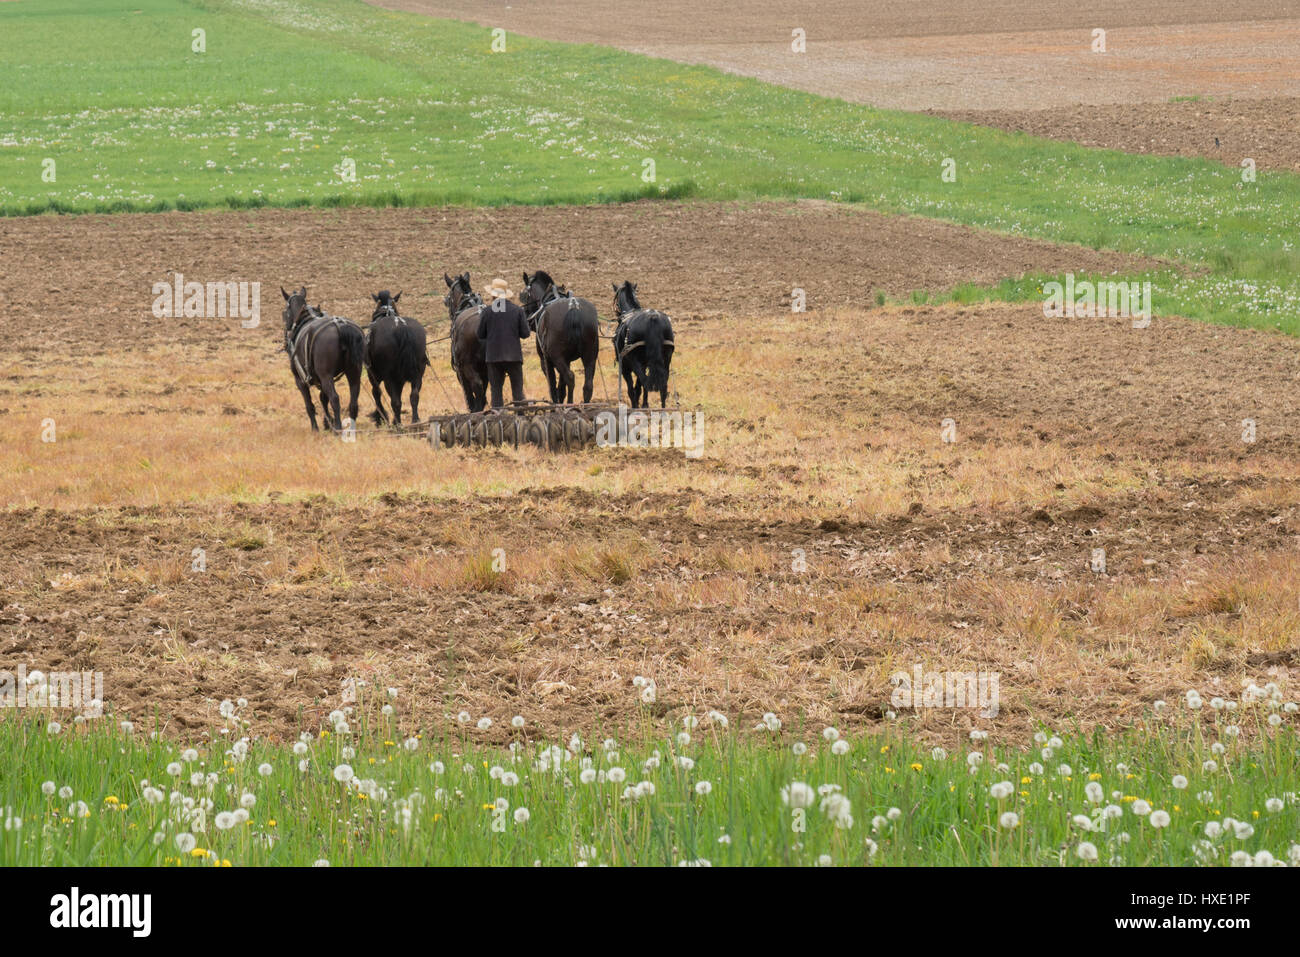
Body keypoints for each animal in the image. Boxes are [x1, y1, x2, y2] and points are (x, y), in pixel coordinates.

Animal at [281, 286, 364, 432]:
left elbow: (309, 404)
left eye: (285, 313)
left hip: (326, 376)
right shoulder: (320, 378)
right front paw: (327, 423)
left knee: (335, 398)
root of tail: (340, 326)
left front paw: (316, 427)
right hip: (354, 373)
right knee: (353, 401)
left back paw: (338, 428)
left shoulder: (300, 380)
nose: (286, 337)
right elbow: (323, 398)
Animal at [364, 290, 428, 427]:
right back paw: (415, 420)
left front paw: (380, 418)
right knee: (414, 395)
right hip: (418, 373)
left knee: (394, 400)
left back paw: (397, 423)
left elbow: (377, 393)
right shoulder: (401, 379)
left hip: (389, 377)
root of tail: (402, 327)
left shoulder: (373, 374)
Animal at [520, 270, 599, 404]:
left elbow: (552, 384)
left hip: (557, 356)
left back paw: (570, 404)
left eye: (524, 295)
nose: (526, 317)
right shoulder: (567, 359)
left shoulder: (546, 359)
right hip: (590, 355)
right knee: (588, 385)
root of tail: (573, 308)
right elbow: (562, 386)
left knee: (570, 378)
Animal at [612, 280, 674, 409]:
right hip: (666, 358)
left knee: (645, 381)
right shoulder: (644, 364)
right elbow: (639, 387)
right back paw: (663, 409)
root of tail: (652, 317)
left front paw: (636, 405)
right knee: (663, 385)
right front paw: (645, 404)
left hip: (634, 360)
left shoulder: (624, 366)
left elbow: (632, 388)